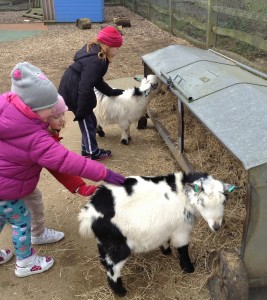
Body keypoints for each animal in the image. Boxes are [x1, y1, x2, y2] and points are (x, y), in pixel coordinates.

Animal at [78, 172, 237, 296]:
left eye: (224, 201)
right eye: (202, 202)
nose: (216, 226)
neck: (183, 196)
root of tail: (90, 213)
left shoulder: (167, 227)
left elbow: (165, 240)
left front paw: (166, 251)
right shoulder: (182, 230)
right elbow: (183, 249)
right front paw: (188, 268)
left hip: (105, 241)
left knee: (105, 260)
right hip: (118, 245)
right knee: (113, 268)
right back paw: (120, 292)